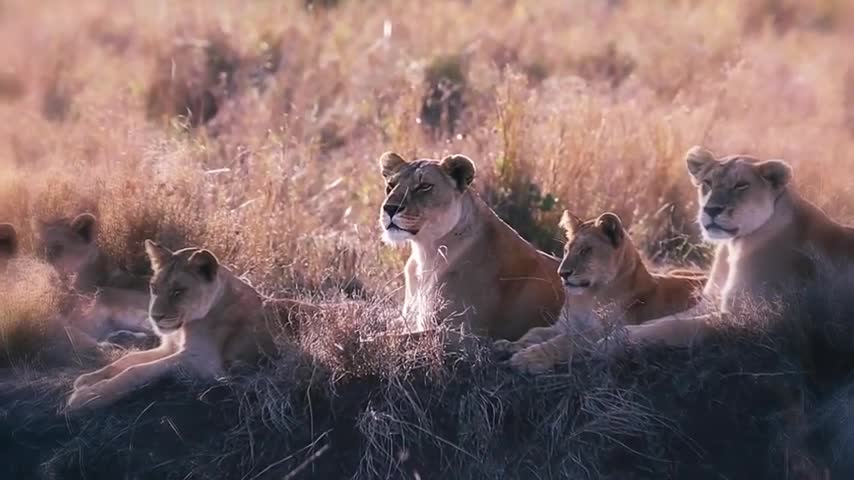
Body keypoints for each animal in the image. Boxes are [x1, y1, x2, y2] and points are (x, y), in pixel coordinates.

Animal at [69, 242, 280, 410]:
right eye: (154, 288)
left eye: (178, 291)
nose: (155, 317)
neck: (183, 329)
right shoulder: (169, 347)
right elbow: (128, 360)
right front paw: (88, 379)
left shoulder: (201, 363)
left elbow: (136, 371)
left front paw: (87, 397)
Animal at [378, 152, 564, 340]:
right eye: (390, 185)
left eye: (424, 186)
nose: (390, 208)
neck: (425, 251)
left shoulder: (464, 335)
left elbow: (386, 338)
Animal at [498, 208, 704, 374]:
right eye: (566, 250)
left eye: (586, 250)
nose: (562, 273)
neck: (586, 298)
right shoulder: (564, 325)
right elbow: (535, 331)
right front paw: (509, 344)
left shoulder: (605, 331)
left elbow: (565, 341)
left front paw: (528, 358)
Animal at [620, 144, 854, 346]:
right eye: (708, 182)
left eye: (741, 185)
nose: (711, 209)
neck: (731, 246)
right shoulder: (710, 301)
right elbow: (668, 320)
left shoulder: (751, 317)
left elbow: (675, 328)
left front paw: (621, 337)